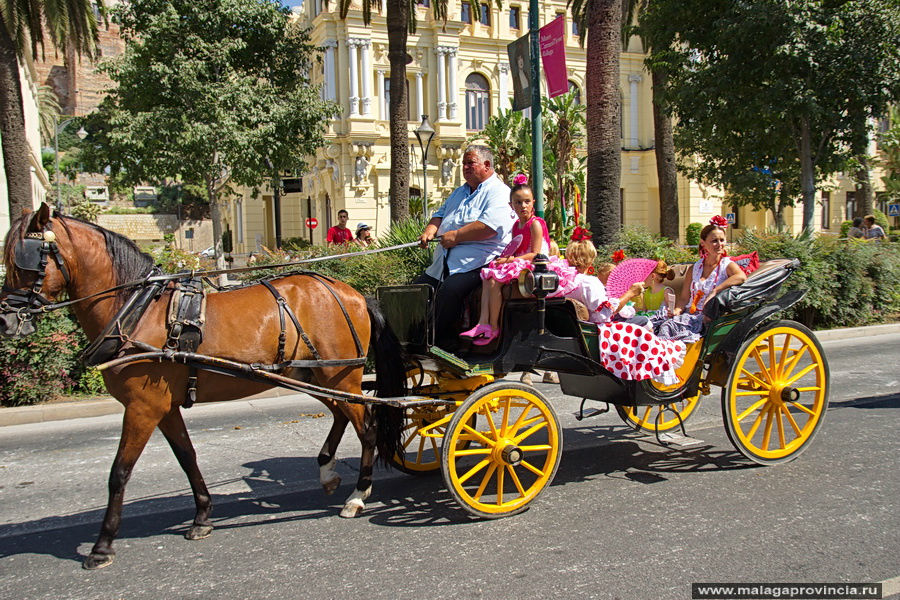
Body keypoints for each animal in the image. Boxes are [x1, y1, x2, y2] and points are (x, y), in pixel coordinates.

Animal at [0, 205, 404, 568]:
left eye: (25, 260)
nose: (6, 322)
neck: (137, 311)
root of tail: (352, 293)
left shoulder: (142, 407)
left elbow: (119, 472)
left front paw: (102, 546)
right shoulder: (163, 407)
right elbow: (187, 457)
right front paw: (202, 516)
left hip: (340, 375)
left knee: (367, 426)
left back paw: (358, 494)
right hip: (314, 375)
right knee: (341, 414)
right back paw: (327, 471)